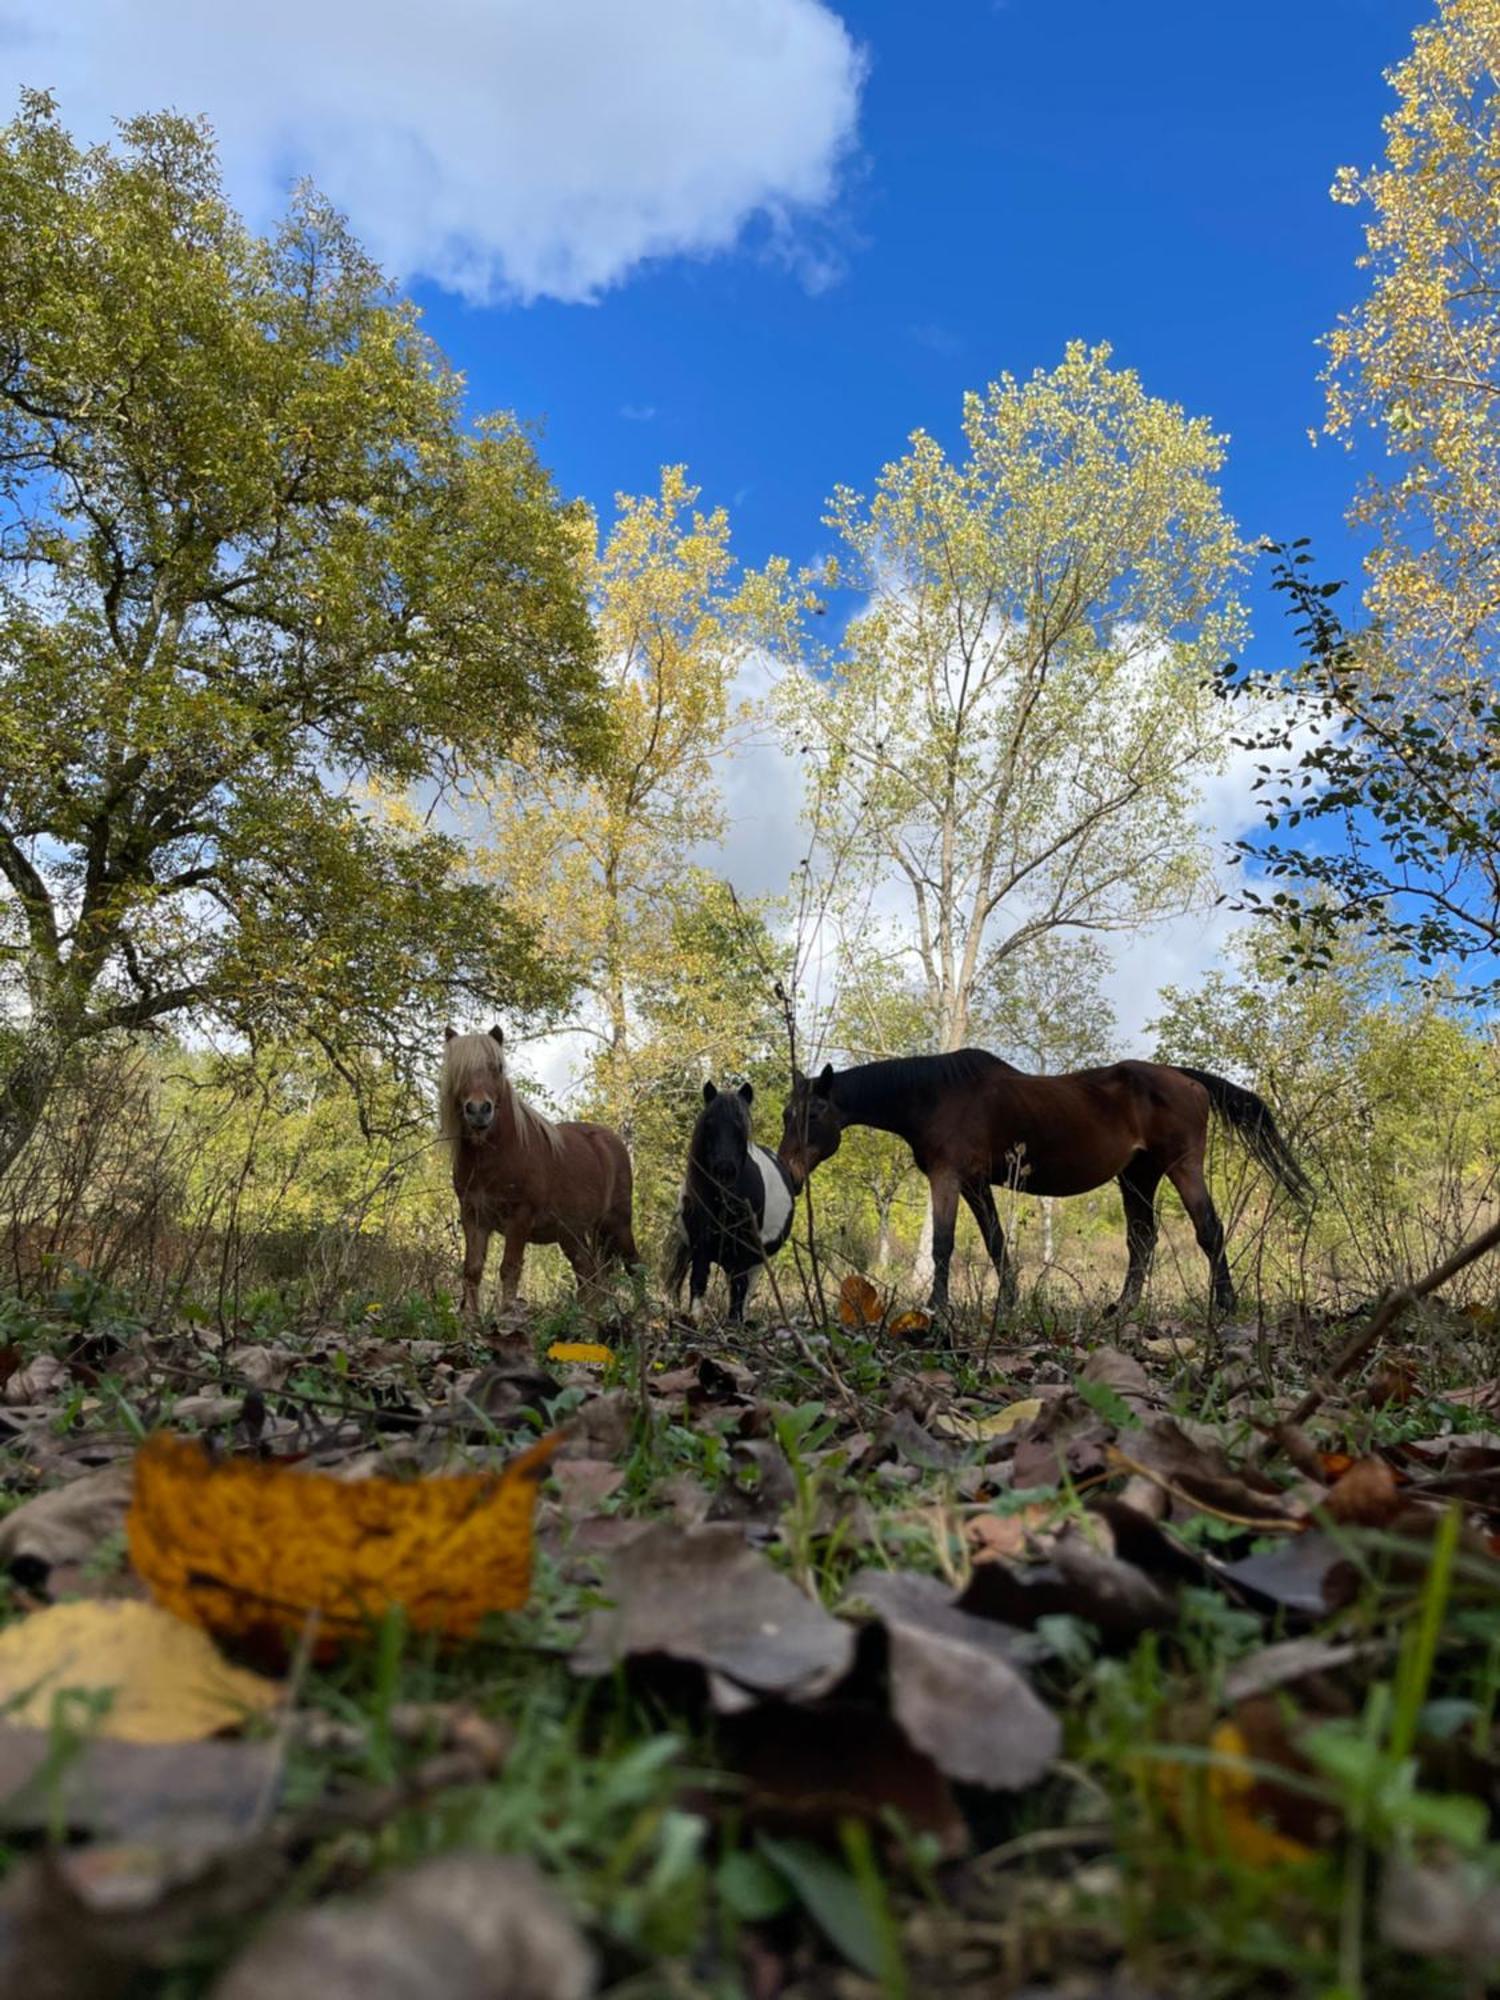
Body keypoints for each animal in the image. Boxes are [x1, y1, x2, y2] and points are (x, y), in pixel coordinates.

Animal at [440, 1024, 640, 1320]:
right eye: (458, 1070)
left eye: (497, 1067)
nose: (478, 1110)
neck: (495, 1156)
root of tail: (611, 1142)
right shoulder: (473, 1216)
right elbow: (472, 1270)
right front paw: (472, 1320)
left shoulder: (519, 1217)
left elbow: (509, 1268)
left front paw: (506, 1316)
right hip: (571, 1235)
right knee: (588, 1275)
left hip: (618, 1224)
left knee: (635, 1267)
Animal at [664, 1080, 792, 1328]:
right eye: (710, 1123)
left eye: (741, 1127)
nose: (725, 1170)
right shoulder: (700, 1241)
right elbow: (699, 1277)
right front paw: (693, 1318)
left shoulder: (745, 1247)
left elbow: (739, 1288)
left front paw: (734, 1323)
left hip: (757, 1259)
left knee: (745, 1287)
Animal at [780, 1056, 1312, 1320]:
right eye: (787, 1113)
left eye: (814, 1113)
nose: (788, 1172)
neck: (933, 1095)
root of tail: (1186, 1079)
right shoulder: (975, 1184)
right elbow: (995, 1243)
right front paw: (1008, 1302)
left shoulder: (949, 1177)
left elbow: (943, 1245)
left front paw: (936, 1307)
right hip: (1137, 1176)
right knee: (1143, 1239)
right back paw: (1122, 1308)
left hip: (1182, 1167)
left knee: (1209, 1230)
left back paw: (1225, 1303)